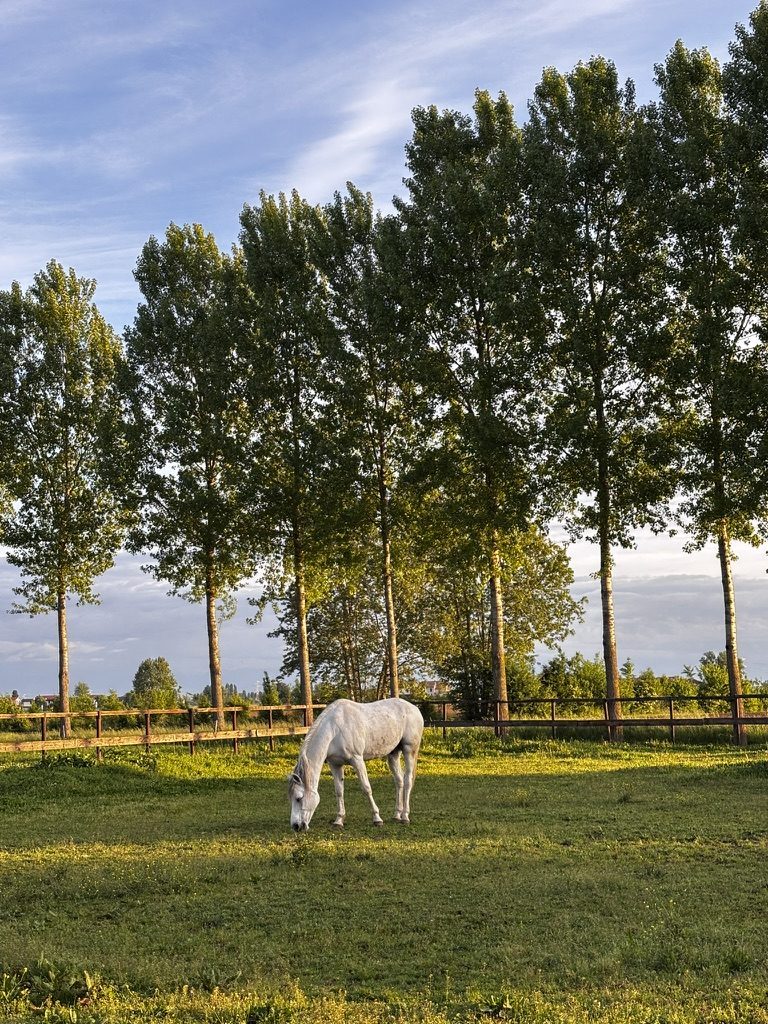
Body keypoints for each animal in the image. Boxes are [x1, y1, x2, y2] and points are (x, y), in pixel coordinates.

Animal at [288, 697, 424, 831]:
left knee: (407, 780)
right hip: (393, 754)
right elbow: (339, 791)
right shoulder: (335, 765)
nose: (296, 826)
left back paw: (405, 816)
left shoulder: (357, 760)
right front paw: (339, 820)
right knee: (399, 781)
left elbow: (366, 788)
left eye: (299, 798)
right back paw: (397, 815)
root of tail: (415, 708)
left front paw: (377, 819)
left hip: (409, 750)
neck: (335, 729)